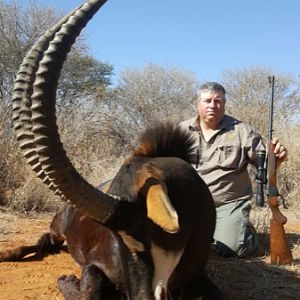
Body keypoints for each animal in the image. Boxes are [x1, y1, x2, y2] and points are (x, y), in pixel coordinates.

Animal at [0, 0, 223, 298]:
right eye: (120, 239)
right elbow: (90, 285)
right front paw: (66, 279)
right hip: (57, 227)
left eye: (142, 231)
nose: (144, 296)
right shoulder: (96, 265)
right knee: (43, 241)